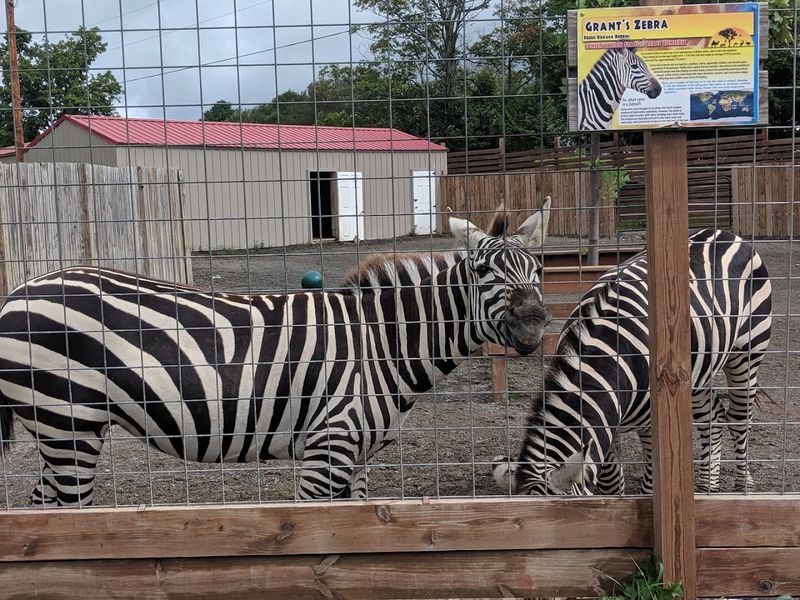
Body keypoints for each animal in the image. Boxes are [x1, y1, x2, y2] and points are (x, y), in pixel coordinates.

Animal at [0, 200, 552, 506]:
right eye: (482, 273)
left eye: (539, 271)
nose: (533, 326)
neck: (381, 343)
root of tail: (17, 292)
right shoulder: (328, 447)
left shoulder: (357, 455)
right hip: (67, 423)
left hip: (63, 429)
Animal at [494, 228, 772, 495]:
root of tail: (725, 233)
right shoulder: (607, 425)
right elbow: (611, 482)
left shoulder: (649, 424)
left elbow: (651, 482)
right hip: (695, 371)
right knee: (712, 416)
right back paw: (707, 485)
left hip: (748, 352)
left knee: (739, 419)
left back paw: (744, 485)